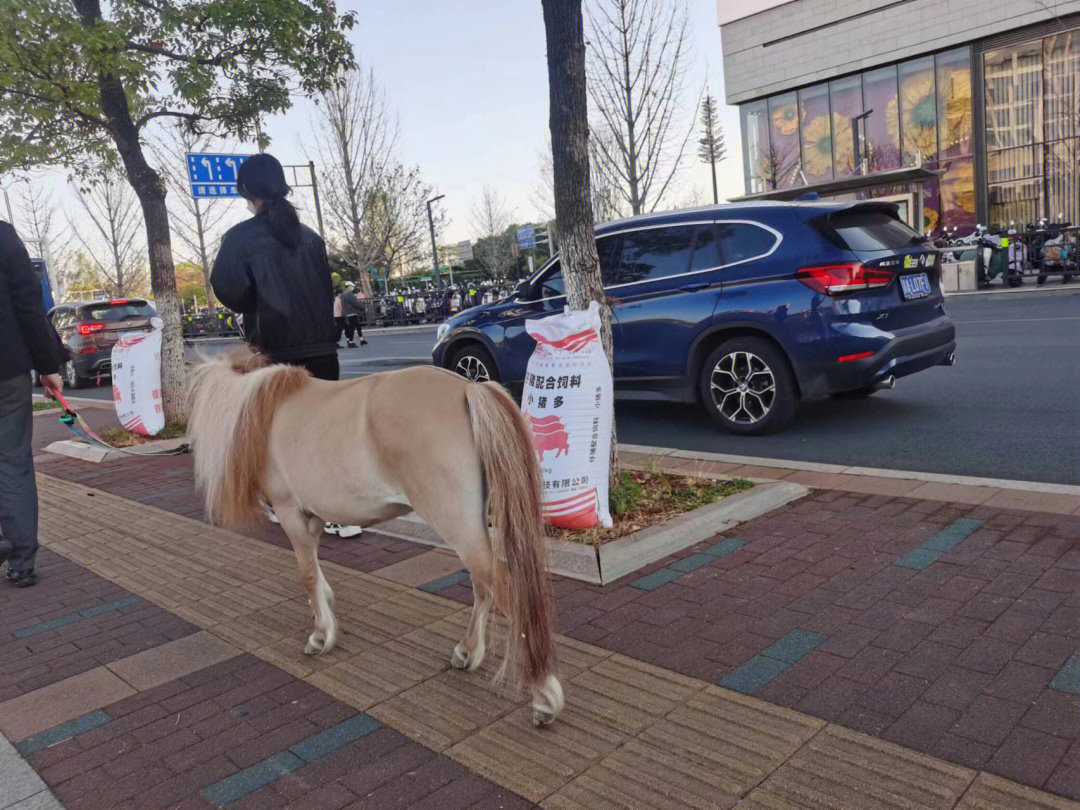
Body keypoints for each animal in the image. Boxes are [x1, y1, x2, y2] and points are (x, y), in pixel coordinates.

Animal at [187, 345, 565, 725]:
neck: (267, 410)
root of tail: (469, 389)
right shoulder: (313, 517)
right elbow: (316, 572)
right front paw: (326, 609)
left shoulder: (289, 511)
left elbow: (306, 574)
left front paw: (321, 635)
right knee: (483, 585)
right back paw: (468, 652)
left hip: (456, 523)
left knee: (501, 586)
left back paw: (544, 693)